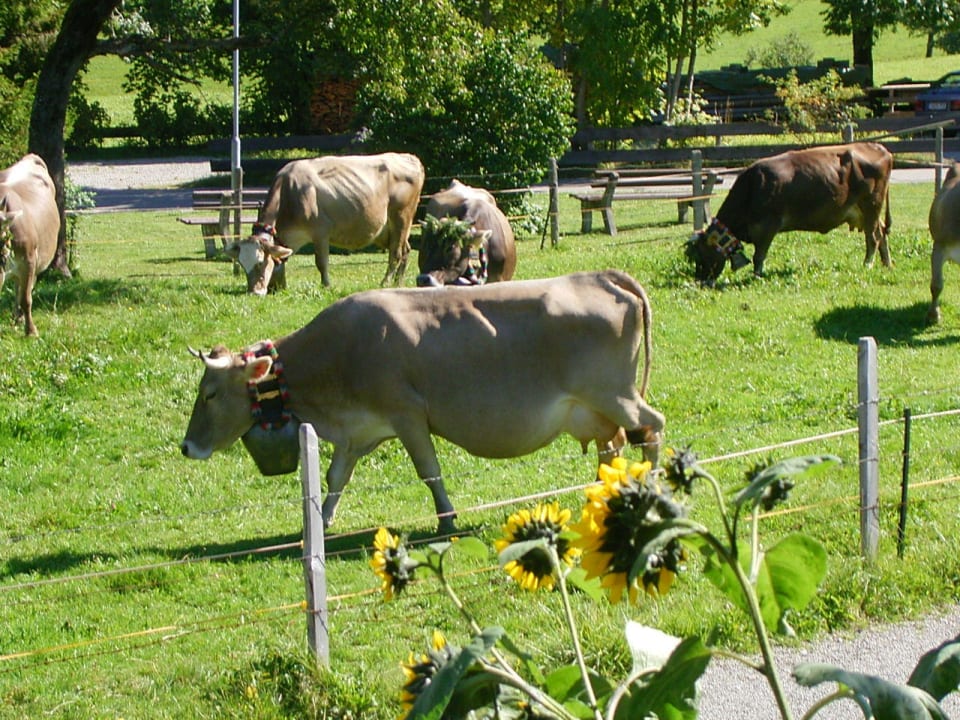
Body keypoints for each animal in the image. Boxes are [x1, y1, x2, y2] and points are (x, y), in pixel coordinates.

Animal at [180, 270, 665, 534]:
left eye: (210, 393)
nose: (187, 447)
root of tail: (599, 275)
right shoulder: (356, 433)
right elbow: (335, 479)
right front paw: (321, 522)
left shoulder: (407, 414)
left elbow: (429, 471)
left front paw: (447, 519)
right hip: (595, 408)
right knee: (613, 445)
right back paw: (603, 494)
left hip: (615, 393)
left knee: (651, 427)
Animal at [225, 153, 425, 294]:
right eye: (241, 264)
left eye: (259, 263)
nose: (254, 292)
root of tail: (408, 157)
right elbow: (279, 260)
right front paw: (278, 287)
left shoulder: (320, 231)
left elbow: (321, 262)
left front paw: (326, 286)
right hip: (385, 230)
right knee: (405, 250)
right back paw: (398, 283)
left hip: (401, 217)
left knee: (396, 253)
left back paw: (385, 283)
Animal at [685, 142, 893, 284]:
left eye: (702, 256)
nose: (701, 282)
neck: (753, 187)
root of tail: (879, 148)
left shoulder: (768, 226)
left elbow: (758, 256)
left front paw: (756, 277)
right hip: (864, 212)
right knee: (881, 233)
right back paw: (887, 264)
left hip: (871, 205)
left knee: (873, 237)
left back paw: (868, 264)